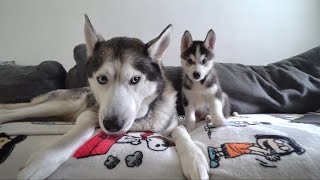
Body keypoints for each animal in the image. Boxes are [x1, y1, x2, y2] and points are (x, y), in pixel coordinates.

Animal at [0, 15, 209, 180]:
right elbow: (80, 130)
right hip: (58, 105)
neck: (137, 123)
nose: (112, 125)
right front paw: (42, 161)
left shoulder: (170, 123)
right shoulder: (91, 113)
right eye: (102, 79)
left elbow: (181, 131)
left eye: (135, 79)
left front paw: (195, 158)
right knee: (19, 111)